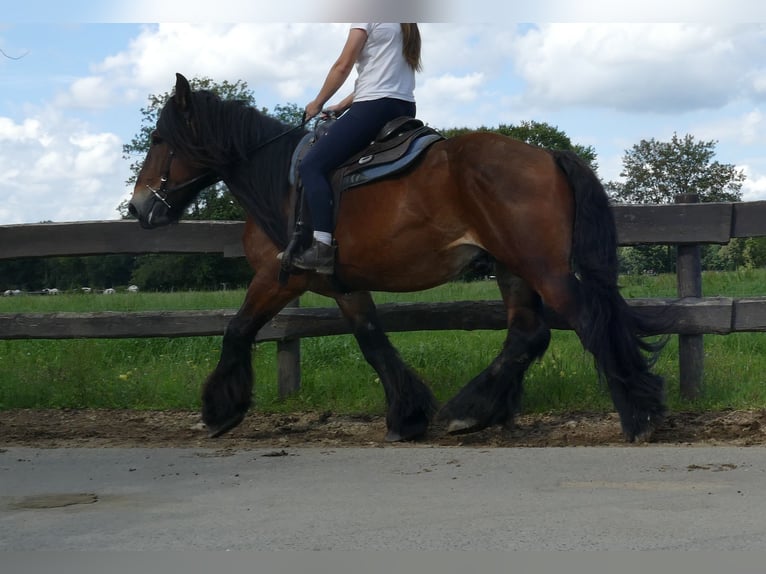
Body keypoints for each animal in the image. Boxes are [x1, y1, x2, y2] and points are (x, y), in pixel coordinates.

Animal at [128, 73, 668, 443]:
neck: (280, 182)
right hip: (511, 266)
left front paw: (220, 410)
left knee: (588, 322)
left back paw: (636, 414)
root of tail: (547, 154)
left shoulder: (280, 277)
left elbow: (237, 329)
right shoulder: (341, 283)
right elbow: (373, 341)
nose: (137, 208)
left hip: (543, 267)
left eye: (159, 140)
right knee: (527, 334)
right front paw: (407, 415)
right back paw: (471, 410)